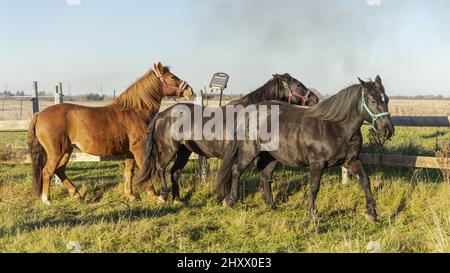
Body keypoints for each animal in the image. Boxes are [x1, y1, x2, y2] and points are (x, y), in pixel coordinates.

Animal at [28, 61, 193, 204]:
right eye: (172, 77)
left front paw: (130, 196)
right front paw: (153, 195)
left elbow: (129, 172)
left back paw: (76, 195)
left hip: (67, 150)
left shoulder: (129, 152)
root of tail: (39, 115)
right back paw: (47, 200)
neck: (135, 111)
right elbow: (144, 170)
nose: (190, 90)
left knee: (59, 170)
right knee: (47, 171)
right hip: (57, 152)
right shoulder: (139, 149)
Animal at [136, 73, 320, 201]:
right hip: (169, 150)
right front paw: (227, 198)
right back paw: (164, 196)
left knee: (175, 172)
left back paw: (178, 198)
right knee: (161, 168)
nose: (315, 98)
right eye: (298, 84)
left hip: (184, 151)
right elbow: (233, 173)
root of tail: (161, 115)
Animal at [216, 75, 392, 220]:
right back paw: (230, 200)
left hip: (272, 156)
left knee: (265, 175)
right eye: (372, 100)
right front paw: (312, 213)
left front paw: (372, 213)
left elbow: (365, 181)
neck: (337, 127)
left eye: (387, 99)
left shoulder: (352, 160)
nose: (388, 130)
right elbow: (314, 187)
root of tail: (248, 113)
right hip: (249, 151)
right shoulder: (317, 164)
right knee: (236, 171)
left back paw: (271, 205)